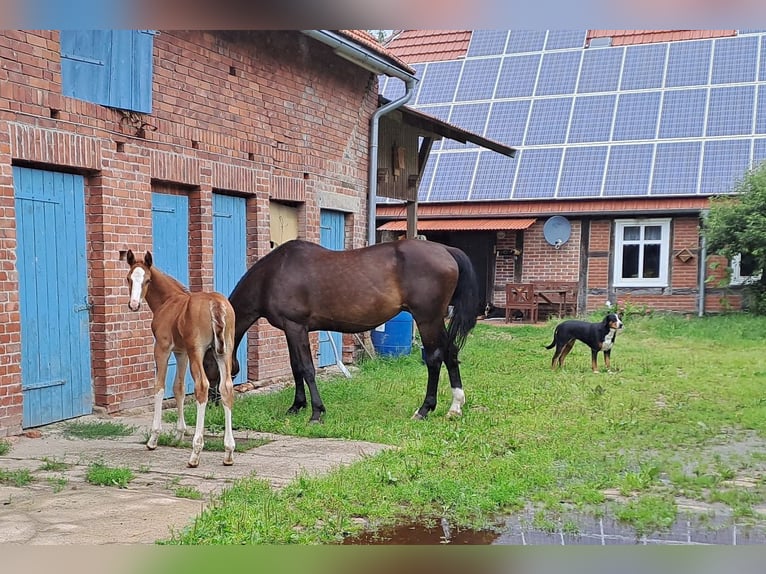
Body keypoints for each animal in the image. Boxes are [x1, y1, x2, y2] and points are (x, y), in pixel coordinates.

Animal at [126, 251, 237, 468]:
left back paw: (195, 453)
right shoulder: (181, 352)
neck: (168, 301)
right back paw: (228, 452)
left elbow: (159, 387)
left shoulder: (162, 348)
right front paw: (178, 434)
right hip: (224, 351)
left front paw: (154, 438)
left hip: (198, 351)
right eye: (129, 279)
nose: (133, 305)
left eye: (147, 280)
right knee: (226, 387)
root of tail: (215, 304)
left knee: (202, 386)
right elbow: (178, 388)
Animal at [204, 238, 480, 424]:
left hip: (427, 319)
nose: (213, 400)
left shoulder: (296, 327)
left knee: (434, 358)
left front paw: (316, 412)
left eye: (207, 361)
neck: (272, 275)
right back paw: (455, 406)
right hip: (435, 320)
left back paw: (424, 409)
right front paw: (297, 406)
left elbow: (307, 368)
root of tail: (445, 250)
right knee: (451, 352)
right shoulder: (290, 329)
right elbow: (295, 367)